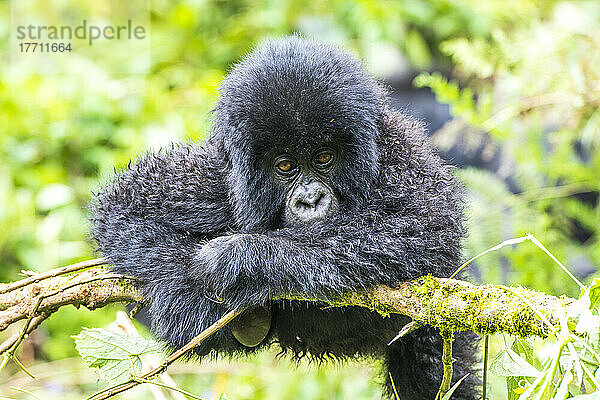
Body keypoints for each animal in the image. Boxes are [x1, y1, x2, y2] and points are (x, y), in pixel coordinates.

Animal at [91, 37, 480, 400]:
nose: (310, 199)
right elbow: (126, 205)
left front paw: (242, 258)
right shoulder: (216, 178)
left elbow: (423, 227)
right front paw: (184, 294)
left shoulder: (404, 158)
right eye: (285, 166)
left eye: (324, 157)